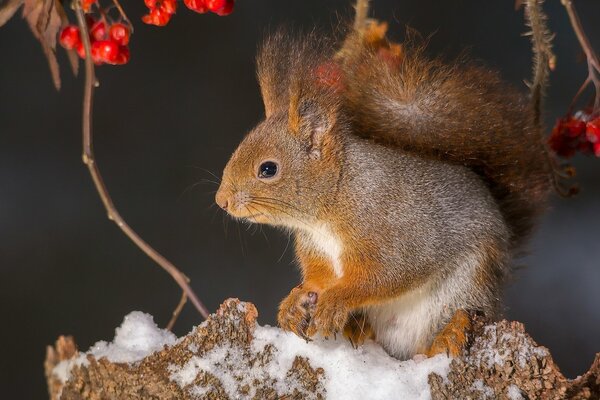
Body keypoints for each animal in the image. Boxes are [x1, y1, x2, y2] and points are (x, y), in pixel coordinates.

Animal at [214, 6, 552, 358]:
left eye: (268, 169)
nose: (221, 200)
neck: (336, 198)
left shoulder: (395, 236)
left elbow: (385, 276)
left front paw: (337, 300)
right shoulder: (318, 251)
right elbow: (319, 279)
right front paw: (296, 299)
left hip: (464, 289)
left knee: (447, 326)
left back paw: (447, 336)